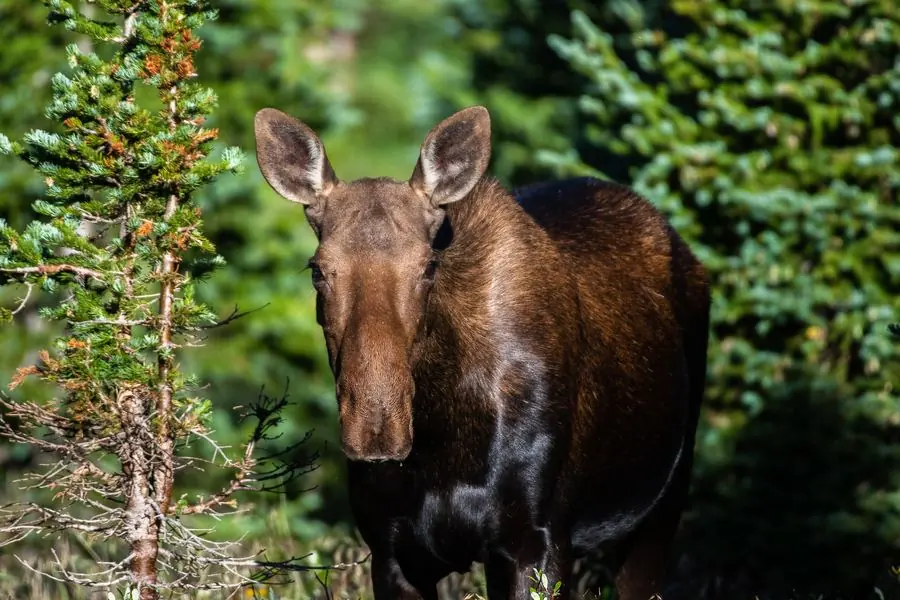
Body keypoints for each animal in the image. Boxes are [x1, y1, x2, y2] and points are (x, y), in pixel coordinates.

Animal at [253, 105, 710, 600]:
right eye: (317, 269)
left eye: (428, 266)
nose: (376, 428)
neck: (440, 438)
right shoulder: (391, 550)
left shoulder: (538, 539)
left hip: (664, 502)